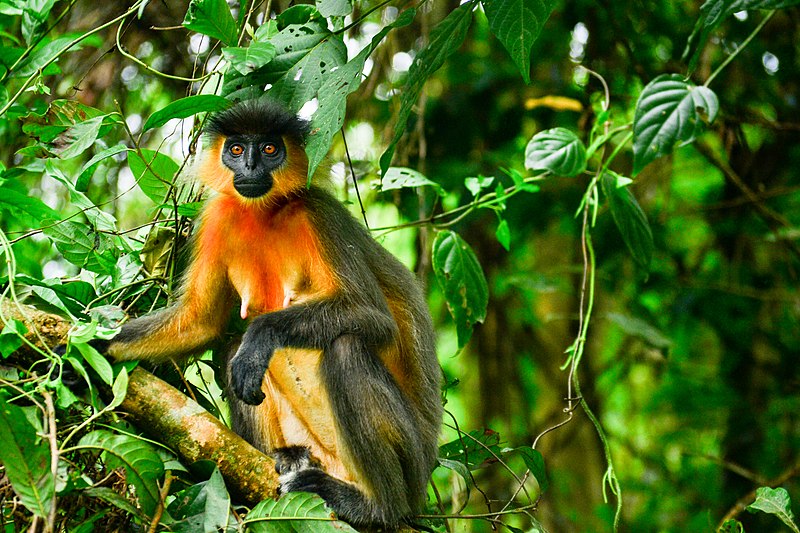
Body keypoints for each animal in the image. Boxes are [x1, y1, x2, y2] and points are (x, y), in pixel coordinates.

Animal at [101, 98, 444, 528]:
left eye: (268, 149)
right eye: (236, 149)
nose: (249, 167)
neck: (264, 214)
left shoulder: (319, 214)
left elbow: (374, 318)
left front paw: (260, 339)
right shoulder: (216, 217)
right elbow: (201, 323)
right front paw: (92, 347)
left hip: (412, 466)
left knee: (345, 349)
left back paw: (375, 506)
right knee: (230, 350)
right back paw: (286, 458)